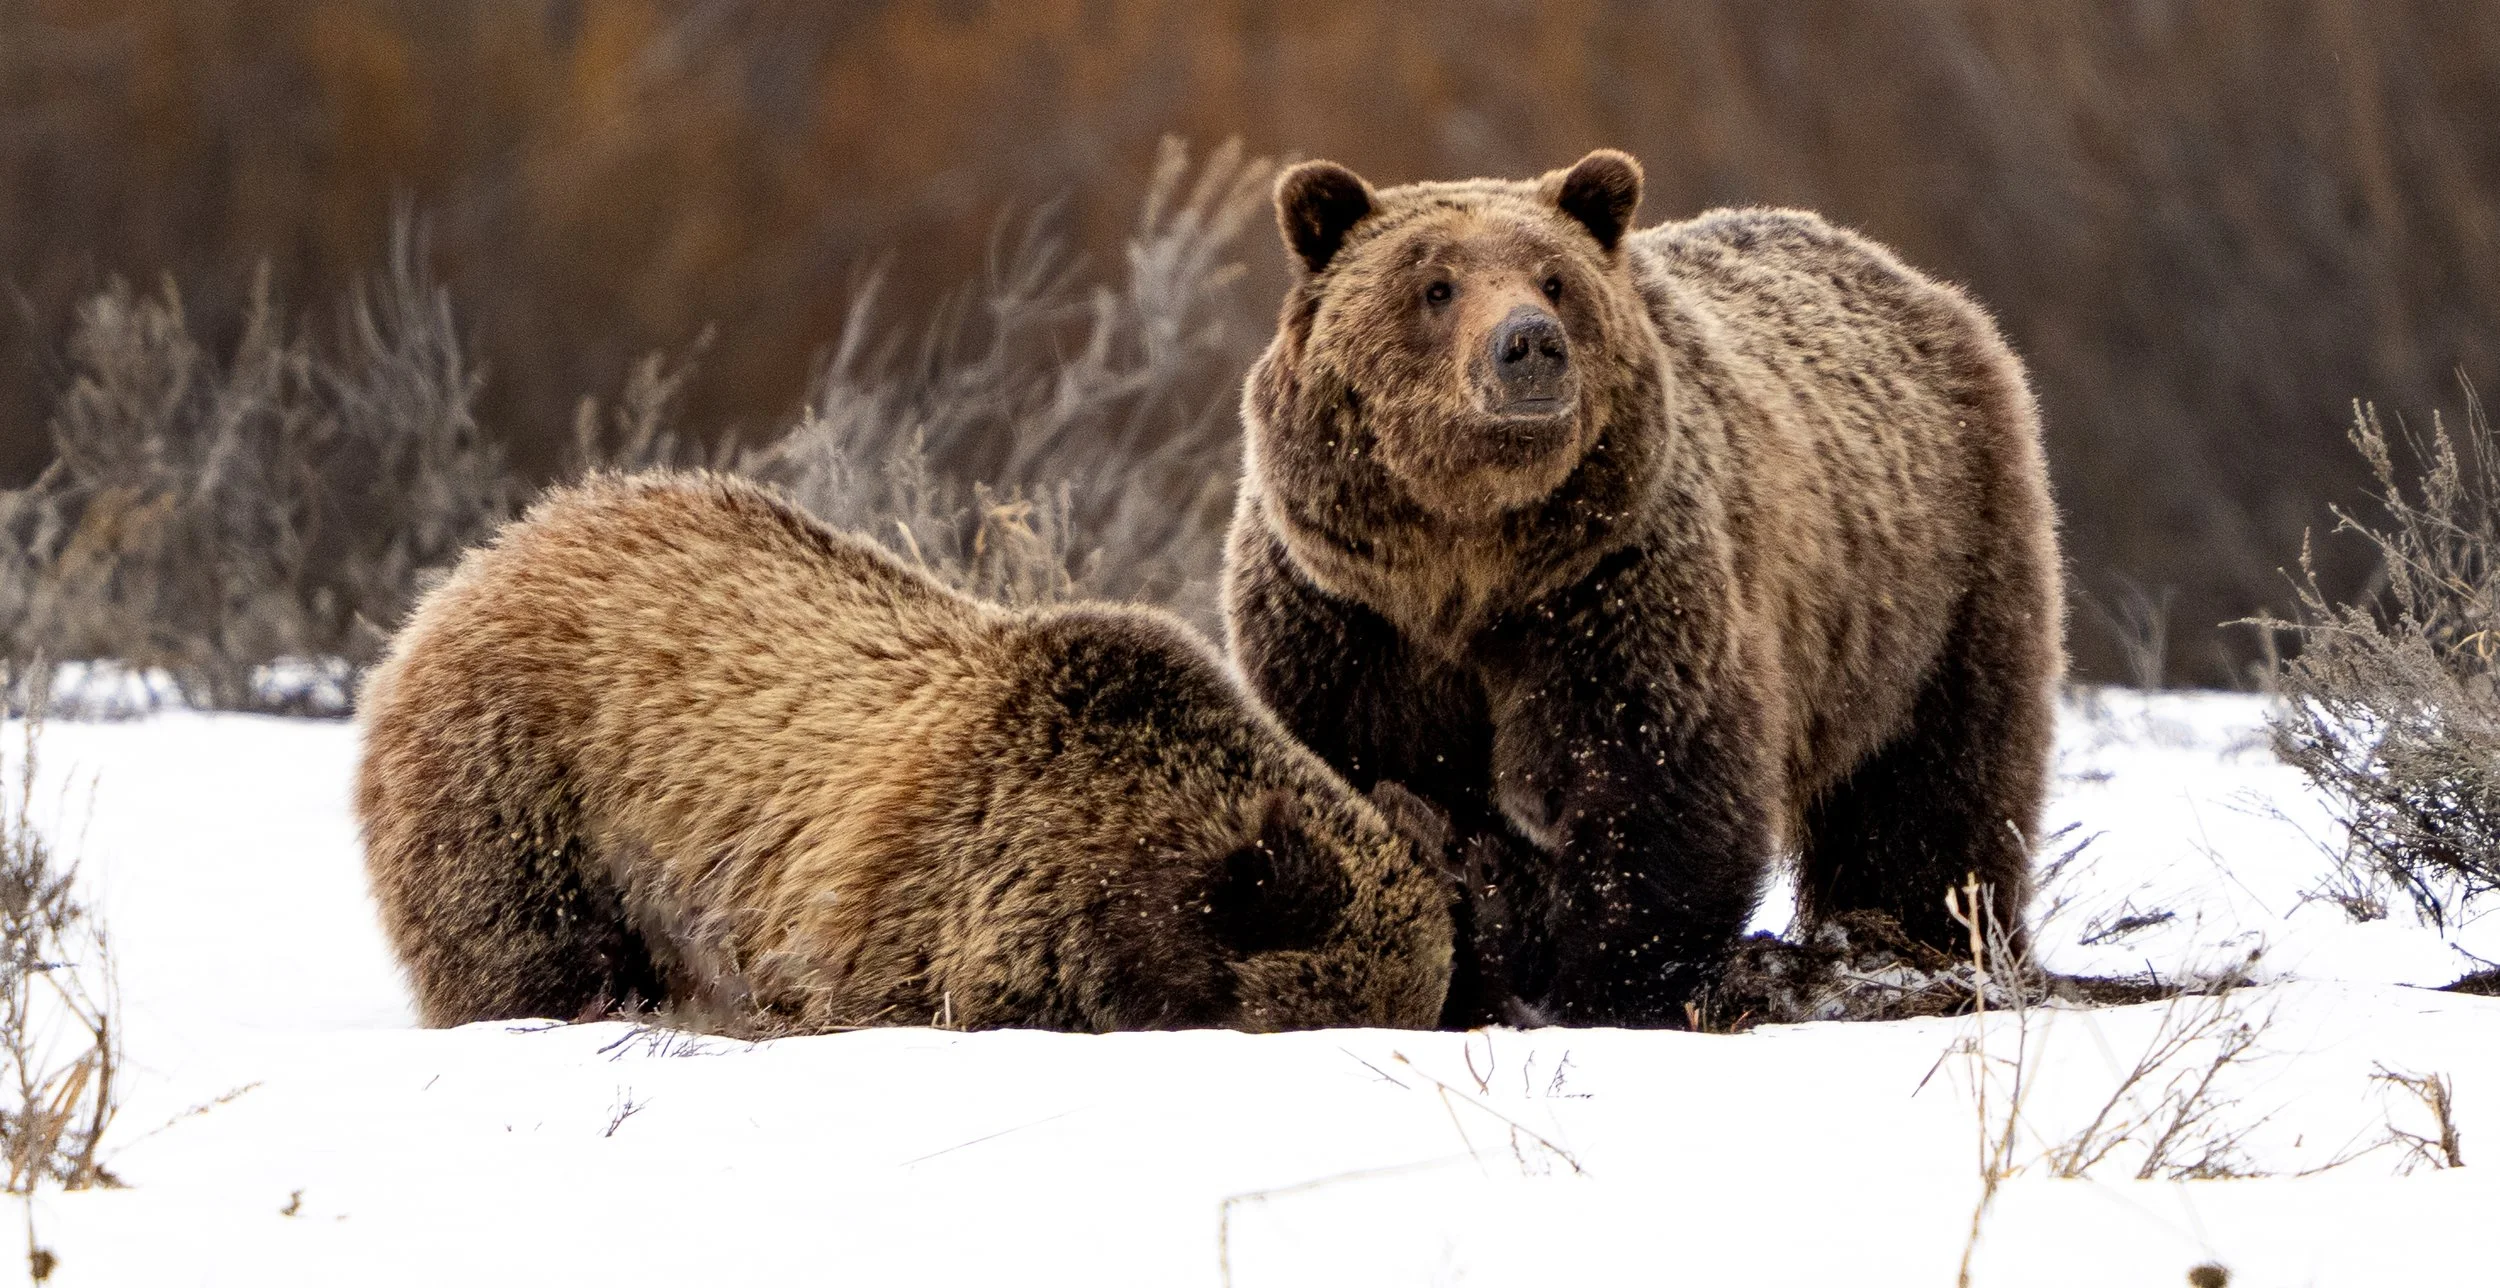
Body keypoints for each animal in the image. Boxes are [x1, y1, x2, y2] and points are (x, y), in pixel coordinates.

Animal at [1223, 149, 2063, 1028]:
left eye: (1555, 279)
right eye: (1436, 285)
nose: (1529, 342)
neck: (1467, 561)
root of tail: (1908, 277)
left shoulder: (1609, 587)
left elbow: (1651, 779)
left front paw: (1610, 990)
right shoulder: (1349, 620)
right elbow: (1368, 773)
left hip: (1937, 573)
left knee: (1937, 781)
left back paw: (1931, 941)